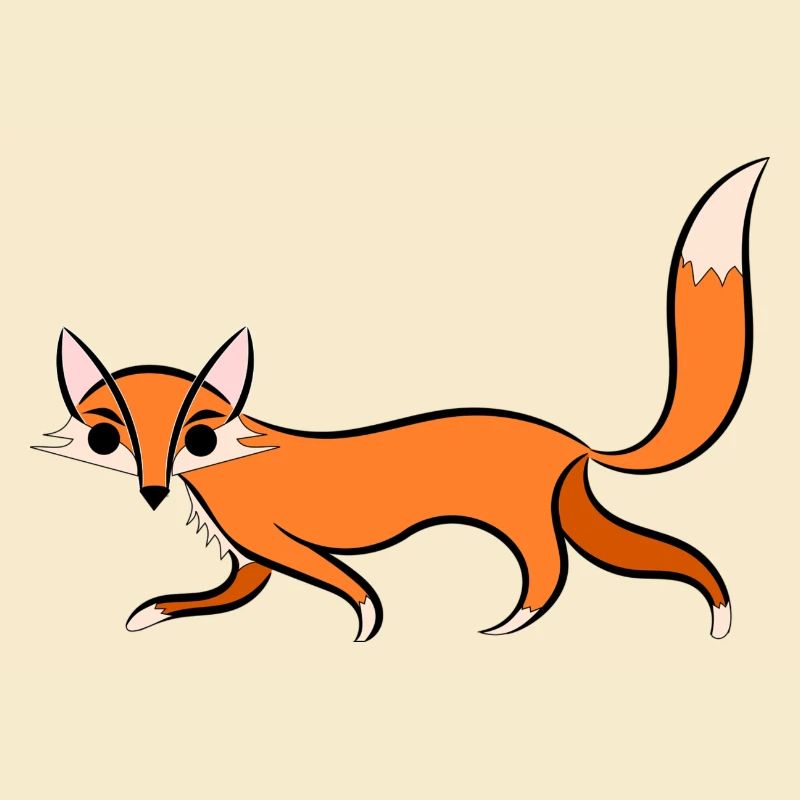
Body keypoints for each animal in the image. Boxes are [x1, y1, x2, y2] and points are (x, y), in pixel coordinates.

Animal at [35, 159, 765, 641]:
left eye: (198, 437)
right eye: (106, 439)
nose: (153, 492)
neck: (229, 465)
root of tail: (573, 443)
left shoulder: (272, 539)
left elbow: (346, 585)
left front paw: (365, 619)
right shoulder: (249, 559)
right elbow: (220, 595)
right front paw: (154, 612)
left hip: (527, 521)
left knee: (552, 571)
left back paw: (512, 622)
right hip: (576, 512)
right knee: (663, 556)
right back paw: (718, 612)